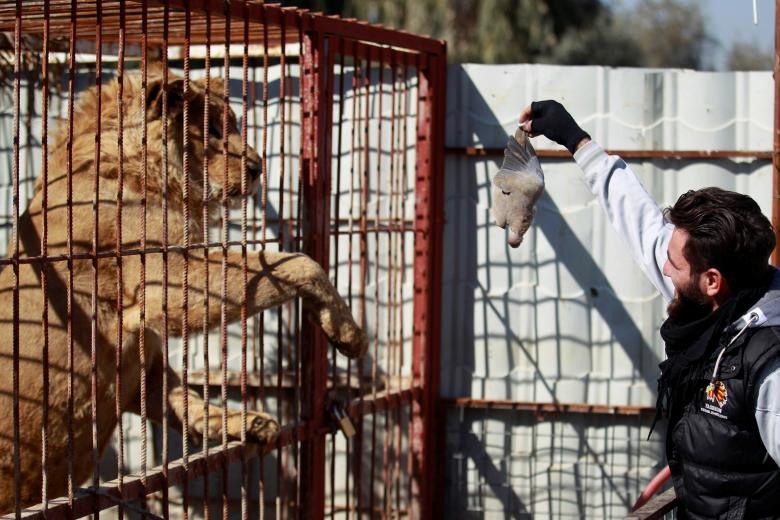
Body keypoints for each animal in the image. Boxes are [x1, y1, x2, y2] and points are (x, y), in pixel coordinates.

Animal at [0, 66, 368, 512]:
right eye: (210, 130)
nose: (258, 167)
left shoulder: (142, 360)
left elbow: (182, 399)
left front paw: (246, 422)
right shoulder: (165, 282)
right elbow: (293, 261)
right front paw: (348, 333)